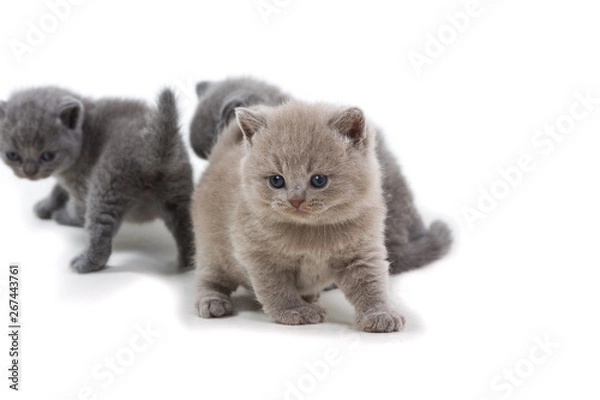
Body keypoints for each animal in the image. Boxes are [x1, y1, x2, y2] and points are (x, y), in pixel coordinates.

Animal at [0, 86, 195, 276]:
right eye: (12, 156)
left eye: (47, 156)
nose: (29, 172)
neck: (84, 131)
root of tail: (151, 151)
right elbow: (58, 189)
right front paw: (46, 205)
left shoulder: (80, 185)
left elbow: (77, 210)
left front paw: (62, 214)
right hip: (178, 192)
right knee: (187, 230)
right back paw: (187, 264)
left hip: (106, 187)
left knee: (100, 233)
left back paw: (85, 263)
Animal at [192, 101, 412, 332]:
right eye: (276, 180)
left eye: (319, 180)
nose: (295, 200)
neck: (311, 231)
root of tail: (219, 157)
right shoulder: (259, 257)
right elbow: (276, 288)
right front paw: (295, 311)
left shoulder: (363, 253)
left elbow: (371, 285)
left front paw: (380, 314)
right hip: (211, 250)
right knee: (208, 278)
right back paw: (212, 302)